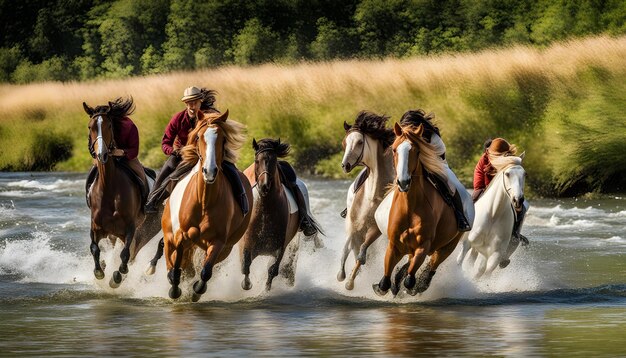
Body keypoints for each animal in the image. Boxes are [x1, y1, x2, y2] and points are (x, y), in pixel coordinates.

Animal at [83, 98, 158, 288]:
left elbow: (125, 255)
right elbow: (94, 248)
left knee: (132, 253)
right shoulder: (96, 227)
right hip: (113, 235)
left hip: (144, 230)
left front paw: (116, 278)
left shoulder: (130, 228)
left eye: (109, 125)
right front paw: (99, 272)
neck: (109, 189)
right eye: (90, 126)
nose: (101, 154)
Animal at [161, 110, 254, 300]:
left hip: (226, 247)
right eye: (198, 137)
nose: (209, 171)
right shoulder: (180, 235)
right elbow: (176, 265)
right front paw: (175, 287)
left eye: (223, 139)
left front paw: (195, 291)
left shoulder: (218, 242)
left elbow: (206, 272)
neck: (204, 201)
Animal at [239, 138, 300, 292]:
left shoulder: (280, 246)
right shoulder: (247, 243)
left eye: (273, 160)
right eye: (257, 161)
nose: (264, 186)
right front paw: (247, 284)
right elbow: (245, 265)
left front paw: (266, 290)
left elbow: (272, 270)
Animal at [334, 112, 392, 290]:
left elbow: (361, 255)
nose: (345, 165)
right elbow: (349, 250)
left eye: (360, 142)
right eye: (344, 142)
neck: (371, 197)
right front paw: (343, 276)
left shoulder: (375, 229)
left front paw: (350, 282)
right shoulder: (354, 227)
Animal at [370, 121, 464, 296]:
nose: (403, 182)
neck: (410, 208)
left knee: (431, 266)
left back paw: (420, 283)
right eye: (394, 149)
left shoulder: (423, 245)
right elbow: (385, 283)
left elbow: (409, 280)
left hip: (448, 246)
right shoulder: (394, 244)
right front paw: (388, 285)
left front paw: (408, 285)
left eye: (417, 150)